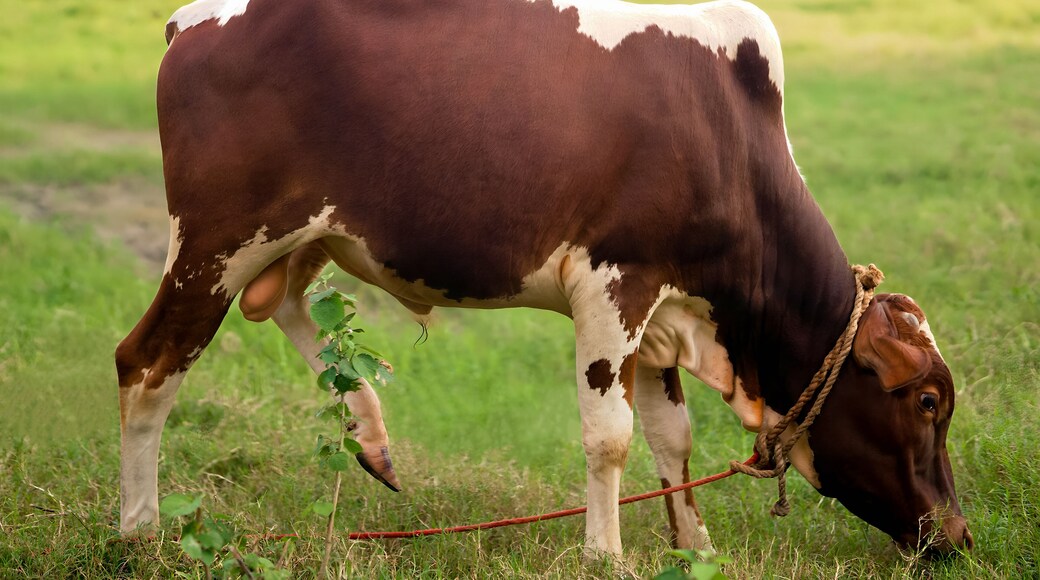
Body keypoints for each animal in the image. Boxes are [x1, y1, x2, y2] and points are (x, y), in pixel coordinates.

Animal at [115, 0, 973, 560]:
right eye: (928, 402)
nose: (959, 535)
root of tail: (196, 18)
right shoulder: (614, 281)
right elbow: (610, 434)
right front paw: (607, 554)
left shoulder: (661, 313)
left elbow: (670, 434)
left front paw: (692, 544)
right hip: (216, 243)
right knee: (147, 363)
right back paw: (141, 529)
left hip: (305, 237)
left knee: (283, 308)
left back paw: (371, 437)